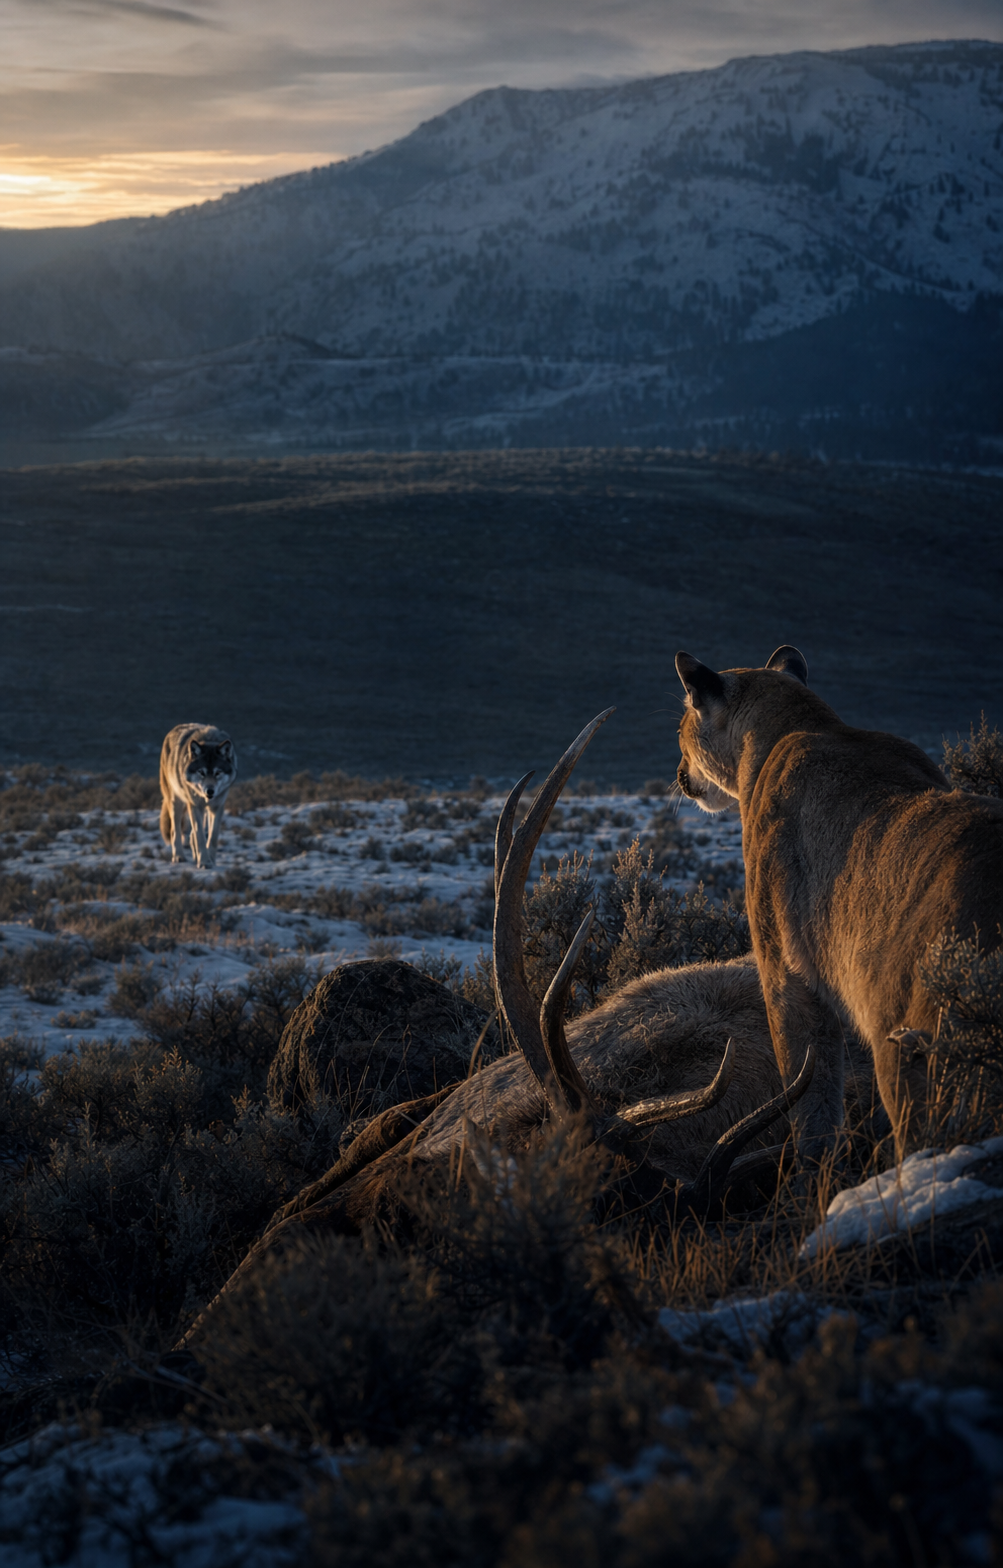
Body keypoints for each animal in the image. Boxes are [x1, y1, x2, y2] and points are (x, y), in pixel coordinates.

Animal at [159, 723, 237, 870]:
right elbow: (200, 836)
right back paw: (179, 857)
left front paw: (211, 860)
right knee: (175, 831)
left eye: (217, 773)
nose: (209, 791)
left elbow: (212, 837)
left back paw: (196, 858)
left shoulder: (217, 808)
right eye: (201, 772)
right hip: (177, 802)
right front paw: (205, 862)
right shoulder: (195, 806)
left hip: (201, 809)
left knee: (191, 835)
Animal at [674, 645, 1003, 1160]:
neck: (796, 723)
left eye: (681, 728)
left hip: (906, 1054)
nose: (679, 774)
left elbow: (811, 1100)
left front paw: (812, 1173)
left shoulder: (784, 973)